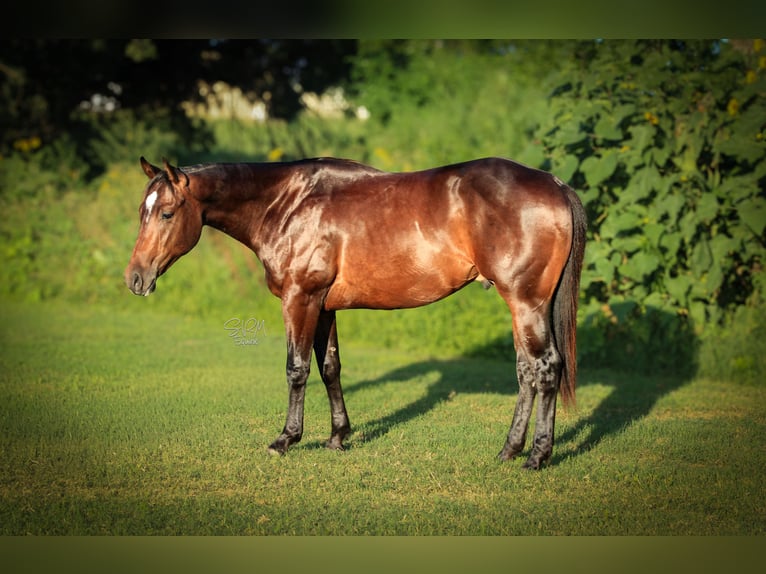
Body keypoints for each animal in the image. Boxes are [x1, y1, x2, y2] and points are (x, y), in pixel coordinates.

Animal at [125, 156, 586, 469]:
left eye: (166, 212)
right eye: (141, 212)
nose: (135, 278)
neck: (287, 204)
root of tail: (553, 183)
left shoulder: (301, 298)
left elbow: (297, 369)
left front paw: (286, 439)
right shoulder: (325, 306)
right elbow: (330, 368)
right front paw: (337, 437)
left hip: (525, 301)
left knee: (545, 368)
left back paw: (537, 456)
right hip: (522, 306)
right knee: (526, 371)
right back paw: (509, 450)